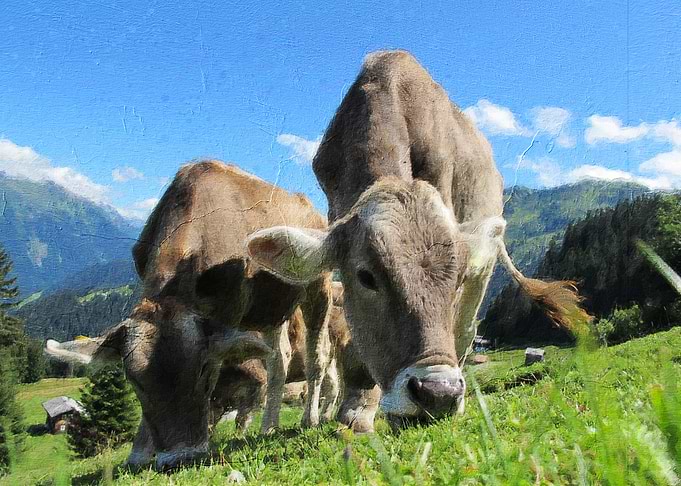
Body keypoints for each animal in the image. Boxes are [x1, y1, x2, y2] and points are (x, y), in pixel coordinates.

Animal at [45, 161, 334, 469]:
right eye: (134, 381)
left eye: (204, 371)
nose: (178, 458)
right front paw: (140, 451)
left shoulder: (230, 311)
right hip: (272, 308)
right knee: (279, 357)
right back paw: (269, 425)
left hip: (318, 286)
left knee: (317, 355)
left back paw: (310, 418)